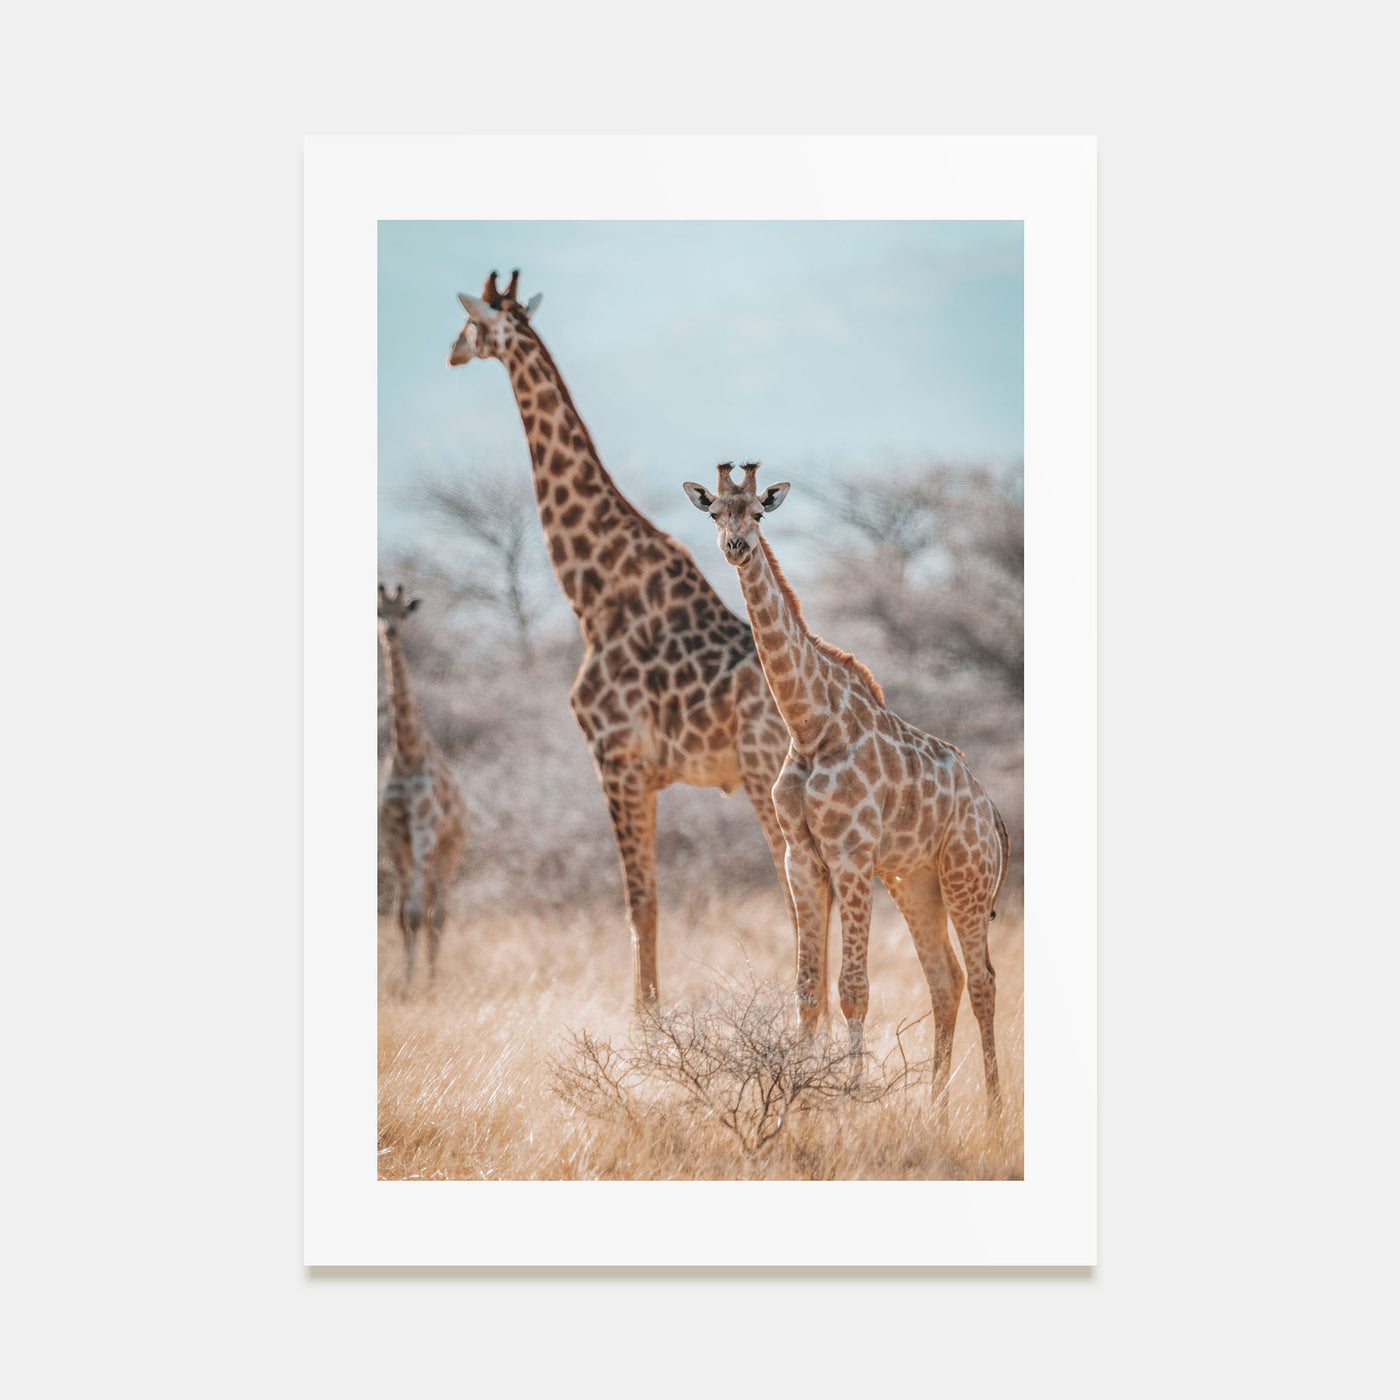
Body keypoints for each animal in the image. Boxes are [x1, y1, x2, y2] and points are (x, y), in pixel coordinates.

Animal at [448, 270, 813, 1010]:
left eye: (471, 324)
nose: (450, 353)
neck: (593, 591)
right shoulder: (645, 771)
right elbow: (649, 899)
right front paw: (648, 1014)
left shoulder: (614, 756)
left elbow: (638, 900)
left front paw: (642, 1021)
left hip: (765, 778)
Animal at [684, 464, 1011, 1115]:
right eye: (714, 514)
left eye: (758, 512)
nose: (737, 547)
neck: (810, 723)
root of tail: (991, 813)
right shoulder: (802, 857)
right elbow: (808, 988)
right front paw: (800, 1099)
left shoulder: (852, 855)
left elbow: (853, 987)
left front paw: (853, 1100)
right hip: (916, 881)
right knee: (946, 979)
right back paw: (935, 1109)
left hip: (965, 876)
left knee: (984, 980)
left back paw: (990, 1110)